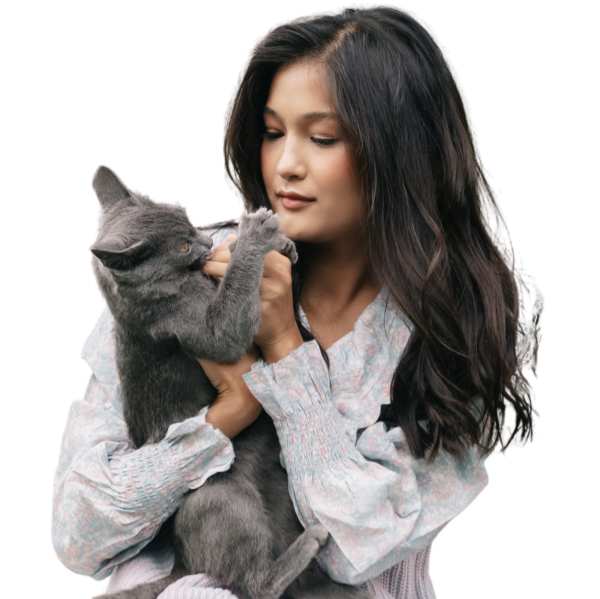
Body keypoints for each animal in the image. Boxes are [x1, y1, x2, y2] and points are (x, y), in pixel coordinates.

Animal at [89, 165, 371, 599]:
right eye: (181, 247)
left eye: (187, 218)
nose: (207, 240)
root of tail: (185, 562)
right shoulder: (192, 325)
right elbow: (227, 329)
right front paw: (255, 234)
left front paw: (275, 243)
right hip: (217, 492)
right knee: (253, 585)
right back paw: (311, 540)